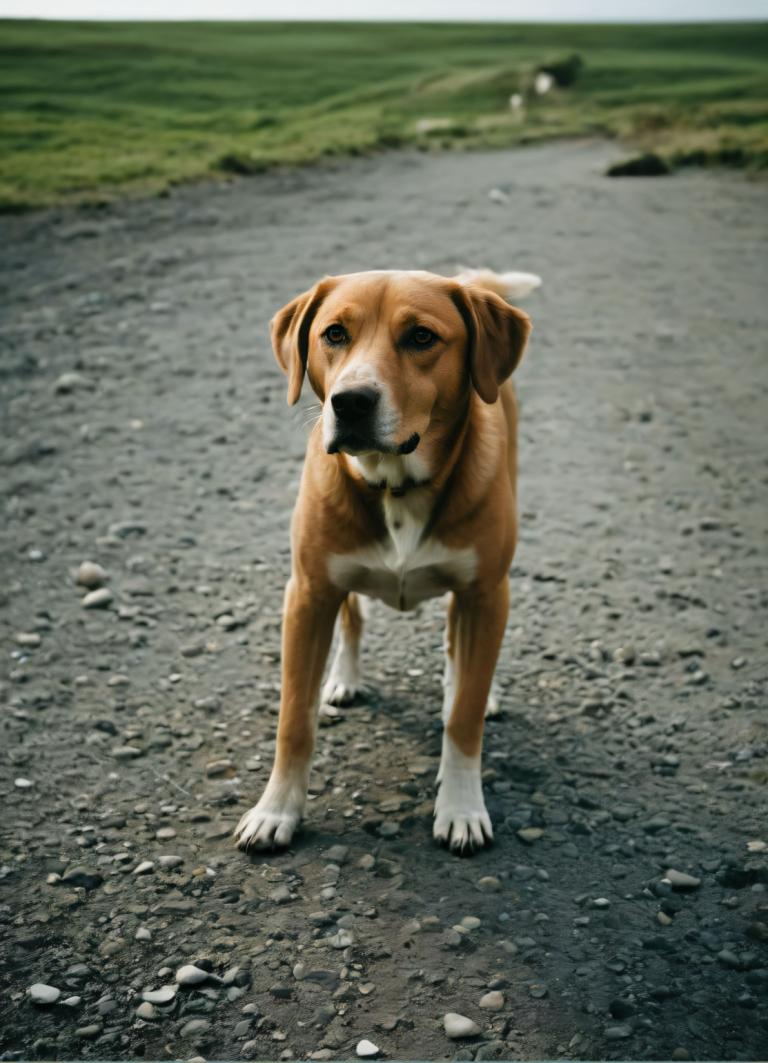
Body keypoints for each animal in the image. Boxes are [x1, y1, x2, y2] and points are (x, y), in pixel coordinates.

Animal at [232, 267, 538, 854]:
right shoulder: (307, 594)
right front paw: (276, 810)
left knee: (460, 651)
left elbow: (464, 720)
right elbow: (294, 721)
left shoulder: (486, 593)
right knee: (354, 616)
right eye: (333, 334)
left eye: (421, 337)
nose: (350, 402)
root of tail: (466, 280)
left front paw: (461, 808)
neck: (397, 485)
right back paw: (345, 677)